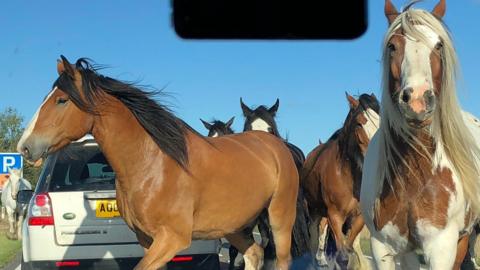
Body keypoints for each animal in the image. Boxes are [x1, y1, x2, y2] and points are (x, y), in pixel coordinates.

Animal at [16, 55, 300, 270]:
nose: (25, 146)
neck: (153, 166)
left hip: (279, 219)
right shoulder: (148, 240)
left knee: (281, 259)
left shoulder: (171, 239)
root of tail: (274, 144)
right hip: (233, 225)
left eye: (61, 100)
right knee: (254, 254)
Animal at [302, 93, 380, 268]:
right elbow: (342, 256)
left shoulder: (358, 217)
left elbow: (351, 248)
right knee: (313, 241)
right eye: (359, 123)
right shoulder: (335, 216)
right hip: (314, 211)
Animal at [360, 1, 480, 268]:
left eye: (438, 45)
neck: (413, 175)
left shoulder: (441, 247)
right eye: (393, 46)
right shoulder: (383, 248)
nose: (417, 100)